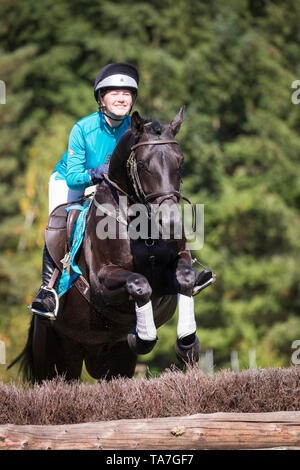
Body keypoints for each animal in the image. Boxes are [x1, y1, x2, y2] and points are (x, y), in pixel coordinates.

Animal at [11, 106, 213, 382]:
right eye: (142, 164)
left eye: (179, 162)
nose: (170, 222)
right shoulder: (102, 281)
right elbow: (140, 283)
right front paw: (143, 337)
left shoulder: (176, 263)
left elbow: (185, 278)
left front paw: (187, 342)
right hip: (54, 363)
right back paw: (45, 301)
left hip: (115, 366)